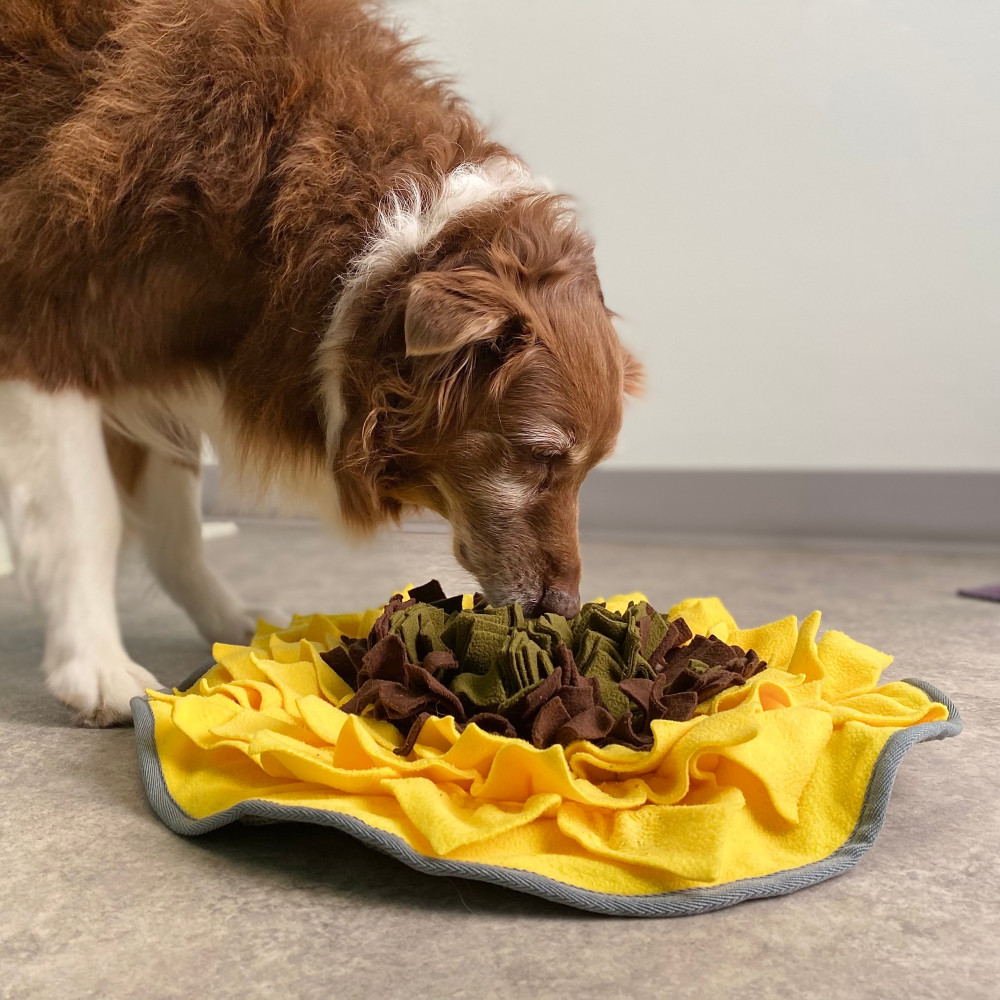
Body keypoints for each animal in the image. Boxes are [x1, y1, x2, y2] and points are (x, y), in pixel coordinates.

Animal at [0, 0, 640, 724]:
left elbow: (175, 527)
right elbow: (87, 520)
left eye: (588, 468)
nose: (562, 609)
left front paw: (227, 621)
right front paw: (97, 668)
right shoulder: (44, 331)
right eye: (540, 455)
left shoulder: (158, 365)